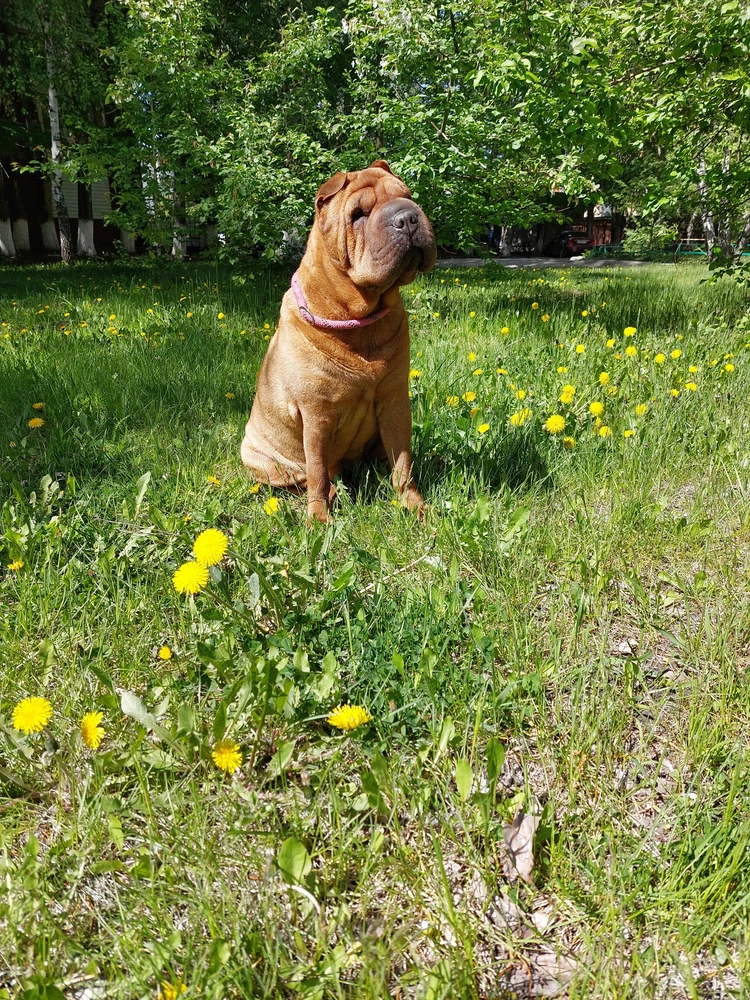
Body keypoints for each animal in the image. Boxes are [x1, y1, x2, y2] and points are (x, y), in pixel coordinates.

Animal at [241, 160, 440, 520]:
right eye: (358, 214)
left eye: (407, 196)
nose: (408, 217)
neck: (359, 321)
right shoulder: (316, 413)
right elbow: (317, 472)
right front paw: (319, 519)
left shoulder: (395, 402)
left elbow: (403, 462)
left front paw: (414, 506)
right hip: (258, 457)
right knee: (303, 478)